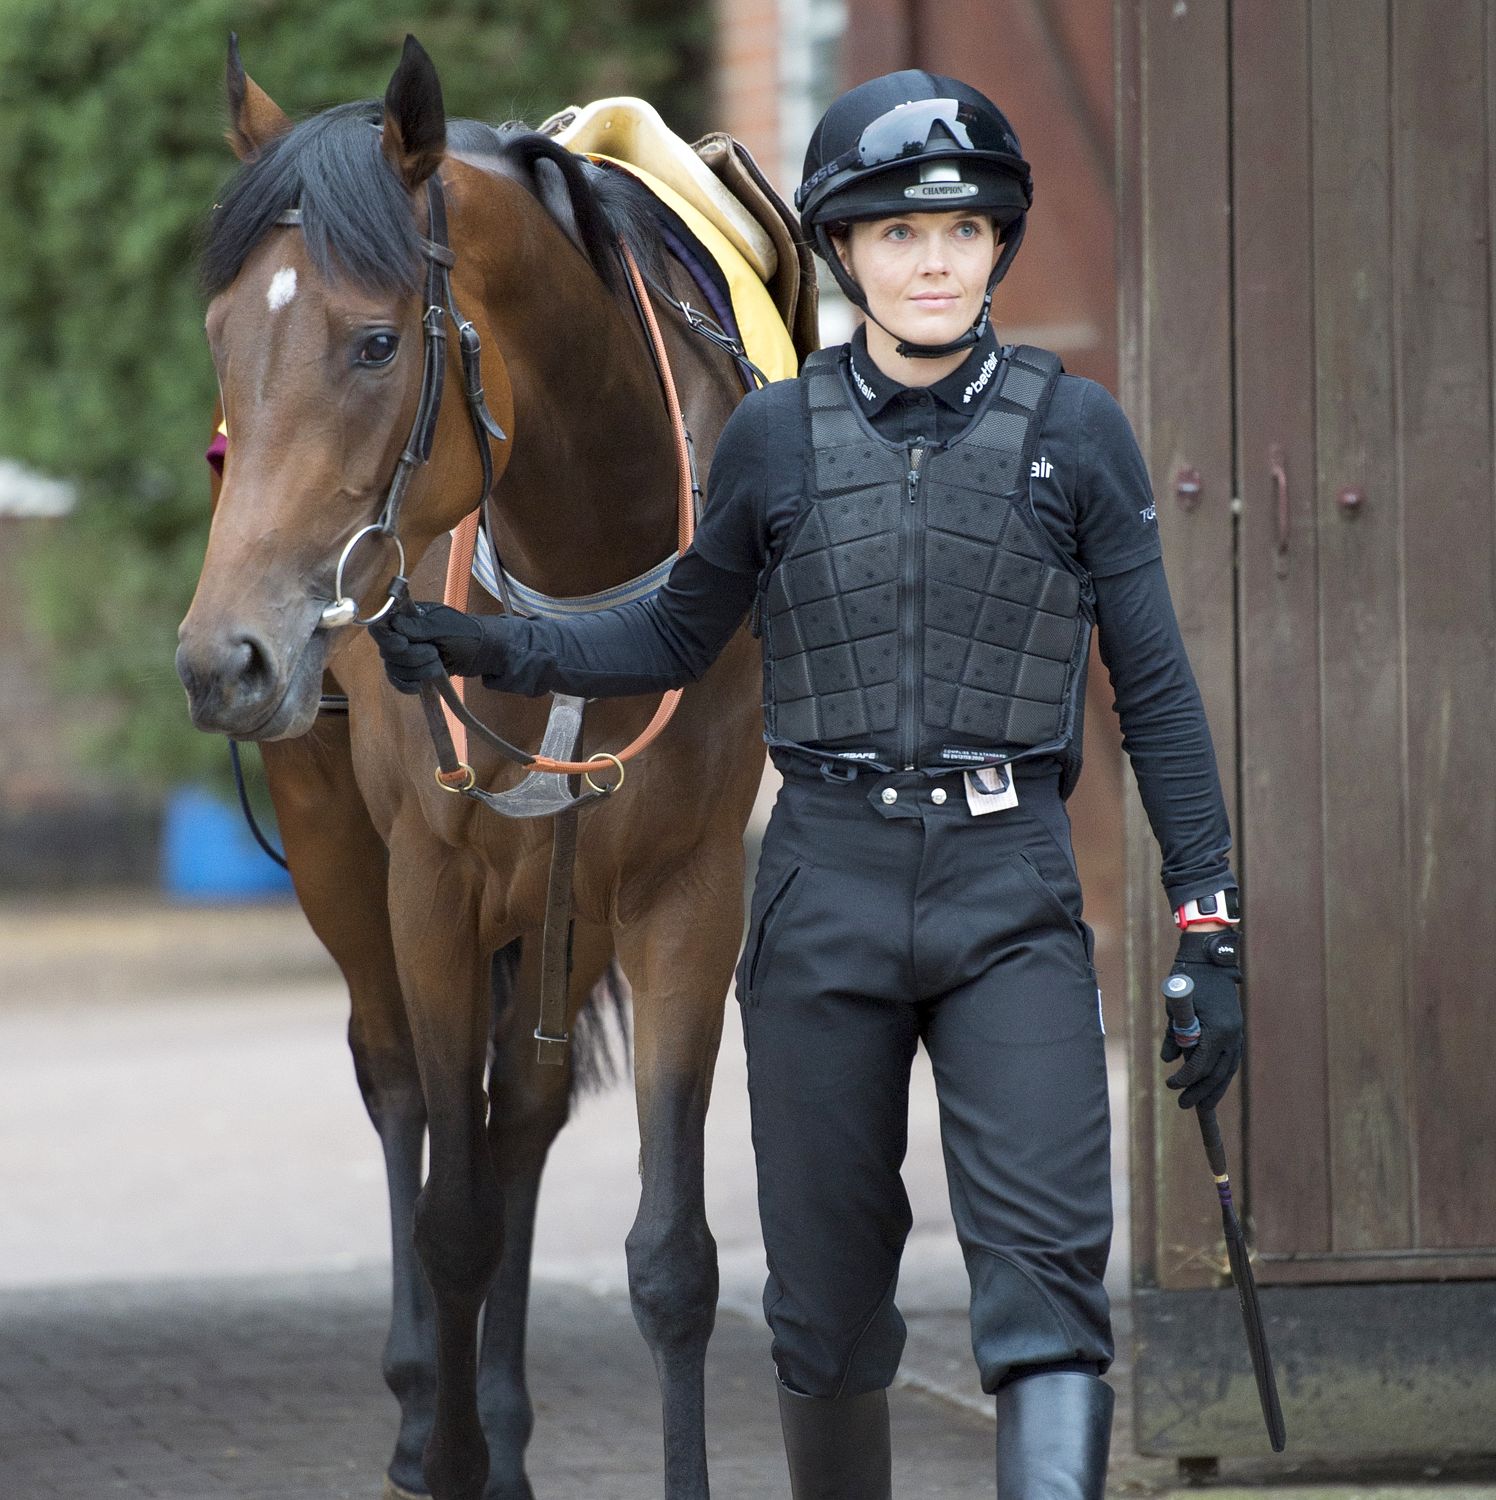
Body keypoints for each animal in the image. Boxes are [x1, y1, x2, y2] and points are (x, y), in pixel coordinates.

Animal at [182, 35, 768, 1500]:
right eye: (222, 338)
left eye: (377, 340)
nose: (225, 658)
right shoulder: (432, 886)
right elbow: (450, 1214)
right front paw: (439, 1443)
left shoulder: (684, 896)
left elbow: (671, 1261)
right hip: (340, 852)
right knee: (397, 1086)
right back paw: (419, 1410)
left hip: (563, 900)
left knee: (523, 1121)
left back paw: (497, 1428)